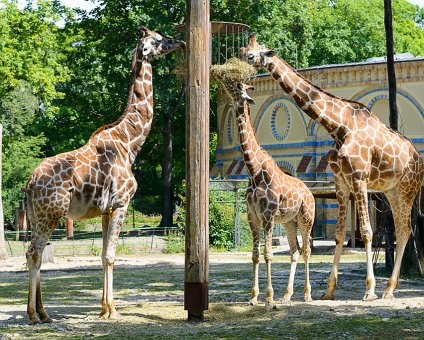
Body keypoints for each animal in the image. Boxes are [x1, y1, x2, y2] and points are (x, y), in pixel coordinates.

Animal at [24, 26, 184, 324]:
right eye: (158, 40)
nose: (180, 42)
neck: (130, 142)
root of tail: (29, 183)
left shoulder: (105, 210)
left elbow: (101, 256)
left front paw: (103, 308)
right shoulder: (121, 203)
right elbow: (111, 256)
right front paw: (113, 310)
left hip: (36, 215)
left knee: (34, 253)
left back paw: (43, 312)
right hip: (50, 212)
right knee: (35, 253)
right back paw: (34, 314)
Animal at [215, 75, 314, 308]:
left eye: (237, 87)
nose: (224, 82)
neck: (254, 170)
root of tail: (311, 193)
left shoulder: (268, 215)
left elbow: (268, 254)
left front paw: (268, 298)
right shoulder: (253, 216)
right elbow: (254, 255)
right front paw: (253, 297)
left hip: (306, 218)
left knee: (307, 250)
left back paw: (307, 294)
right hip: (289, 222)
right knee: (295, 251)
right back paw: (287, 295)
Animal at [242, 33, 424, 302]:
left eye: (252, 56)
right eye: (242, 52)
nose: (240, 76)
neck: (339, 127)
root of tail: (419, 161)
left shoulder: (359, 178)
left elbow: (366, 231)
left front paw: (369, 289)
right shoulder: (341, 182)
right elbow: (339, 234)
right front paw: (328, 290)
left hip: (407, 189)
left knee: (404, 231)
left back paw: (387, 290)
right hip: (391, 191)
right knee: (403, 230)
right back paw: (391, 288)